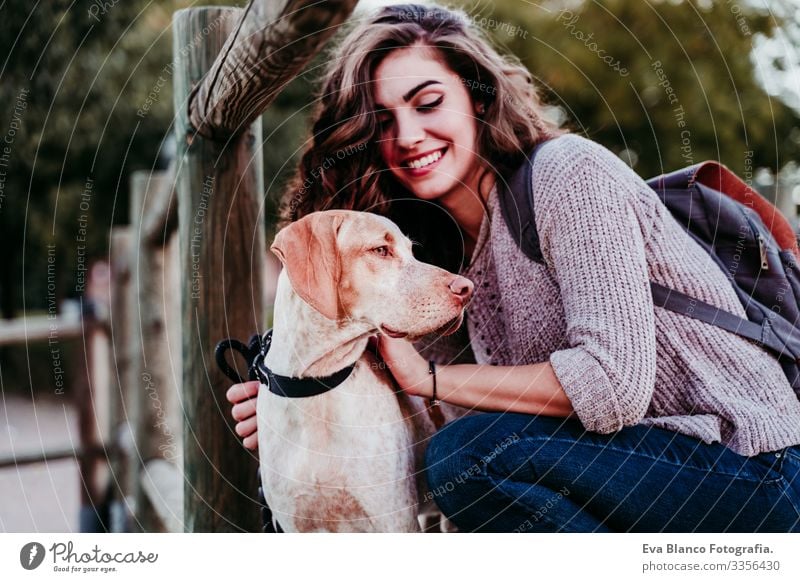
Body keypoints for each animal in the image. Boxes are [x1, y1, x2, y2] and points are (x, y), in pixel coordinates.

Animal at [260, 210, 476, 532]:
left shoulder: (395, 520)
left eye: (412, 251)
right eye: (381, 250)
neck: (319, 384)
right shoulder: (295, 523)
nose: (467, 289)